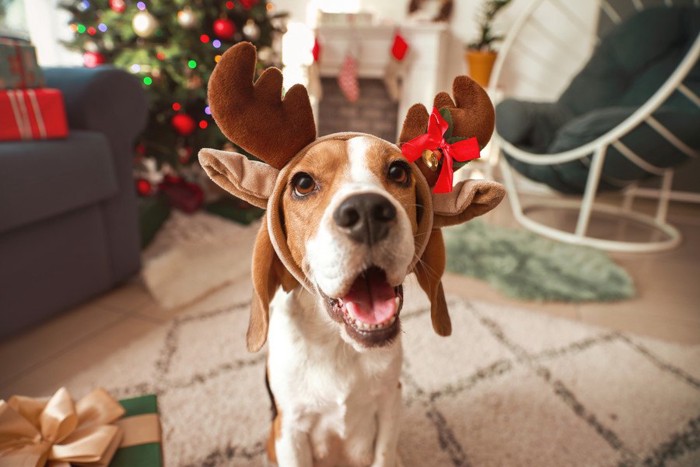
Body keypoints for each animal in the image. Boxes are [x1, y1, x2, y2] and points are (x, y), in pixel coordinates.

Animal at [200, 42, 506, 466]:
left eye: (398, 172)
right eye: (302, 183)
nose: (366, 212)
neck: (341, 346)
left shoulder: (390, 405)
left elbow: (384, 450)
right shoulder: (289, 429)